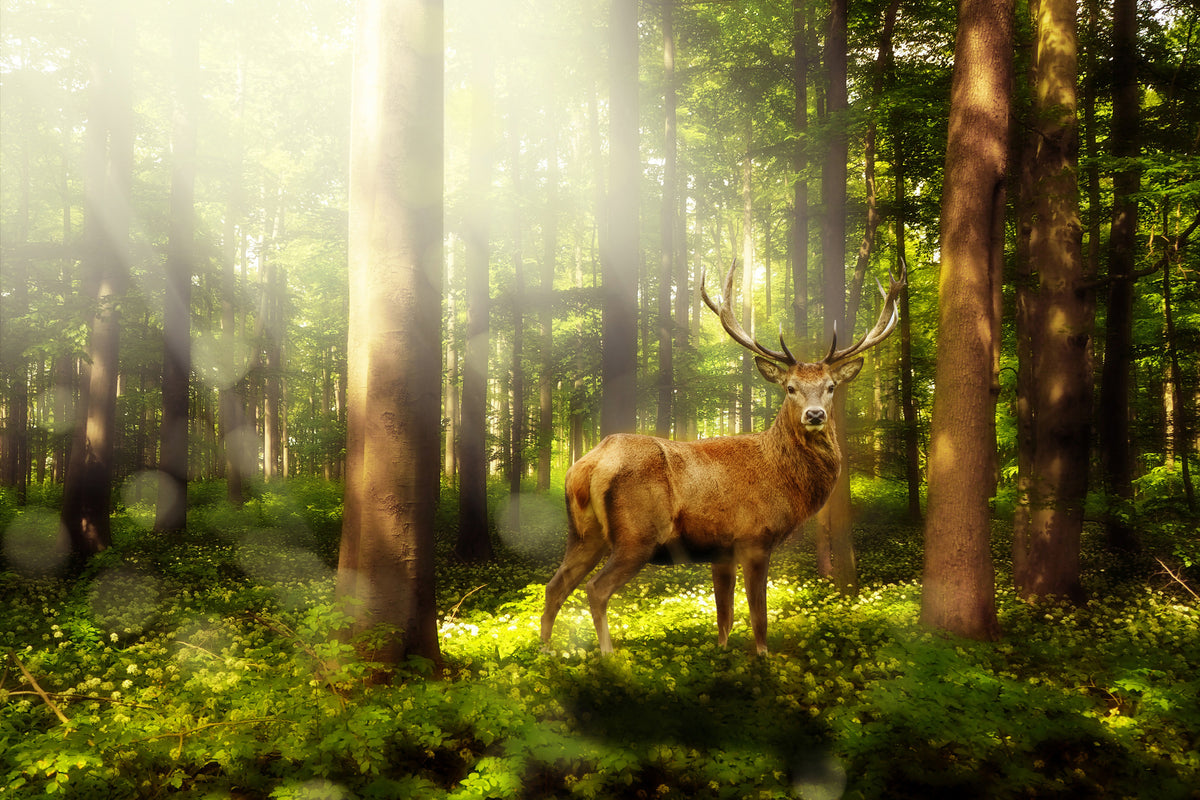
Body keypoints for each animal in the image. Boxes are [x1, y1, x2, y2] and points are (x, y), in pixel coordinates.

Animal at [540, 258, 906, 655]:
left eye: (831, 386)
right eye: (790, 388)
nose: (815, 415)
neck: (783, 479)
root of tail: (588, 464)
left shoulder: (721, 551)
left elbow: (724, 617)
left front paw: (722, 652)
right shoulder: (754, 538)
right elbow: (758, 616)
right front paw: (761, 656)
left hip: (583, 534)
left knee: (554, 586)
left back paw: (545, 652)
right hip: (636, 535)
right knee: (596, 589)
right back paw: (608, 656)